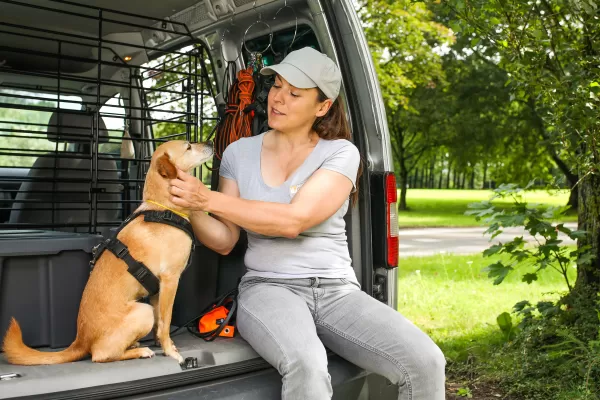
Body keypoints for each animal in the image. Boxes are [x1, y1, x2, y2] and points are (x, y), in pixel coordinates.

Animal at [1, 141, 213, 366]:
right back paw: (139, 351)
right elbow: (165, 322)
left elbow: (160, 325)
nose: (210, 142)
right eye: (188, 146)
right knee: (101, 355)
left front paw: (166, 345)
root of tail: (81, 341)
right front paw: (170, 352)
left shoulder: (158, 290)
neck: (163, 209)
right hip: (142, 312)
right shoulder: (170, 280)